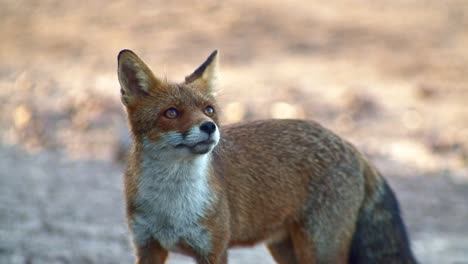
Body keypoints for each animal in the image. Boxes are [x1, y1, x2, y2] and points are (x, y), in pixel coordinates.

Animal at [117, 48, 416, 262]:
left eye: (209, 110)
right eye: (171, 113)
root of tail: (349, 145)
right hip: (285, 249)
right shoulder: (147, 246)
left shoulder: (214, 249)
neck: (171, 208)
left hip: (319, 249)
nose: (209, 127)